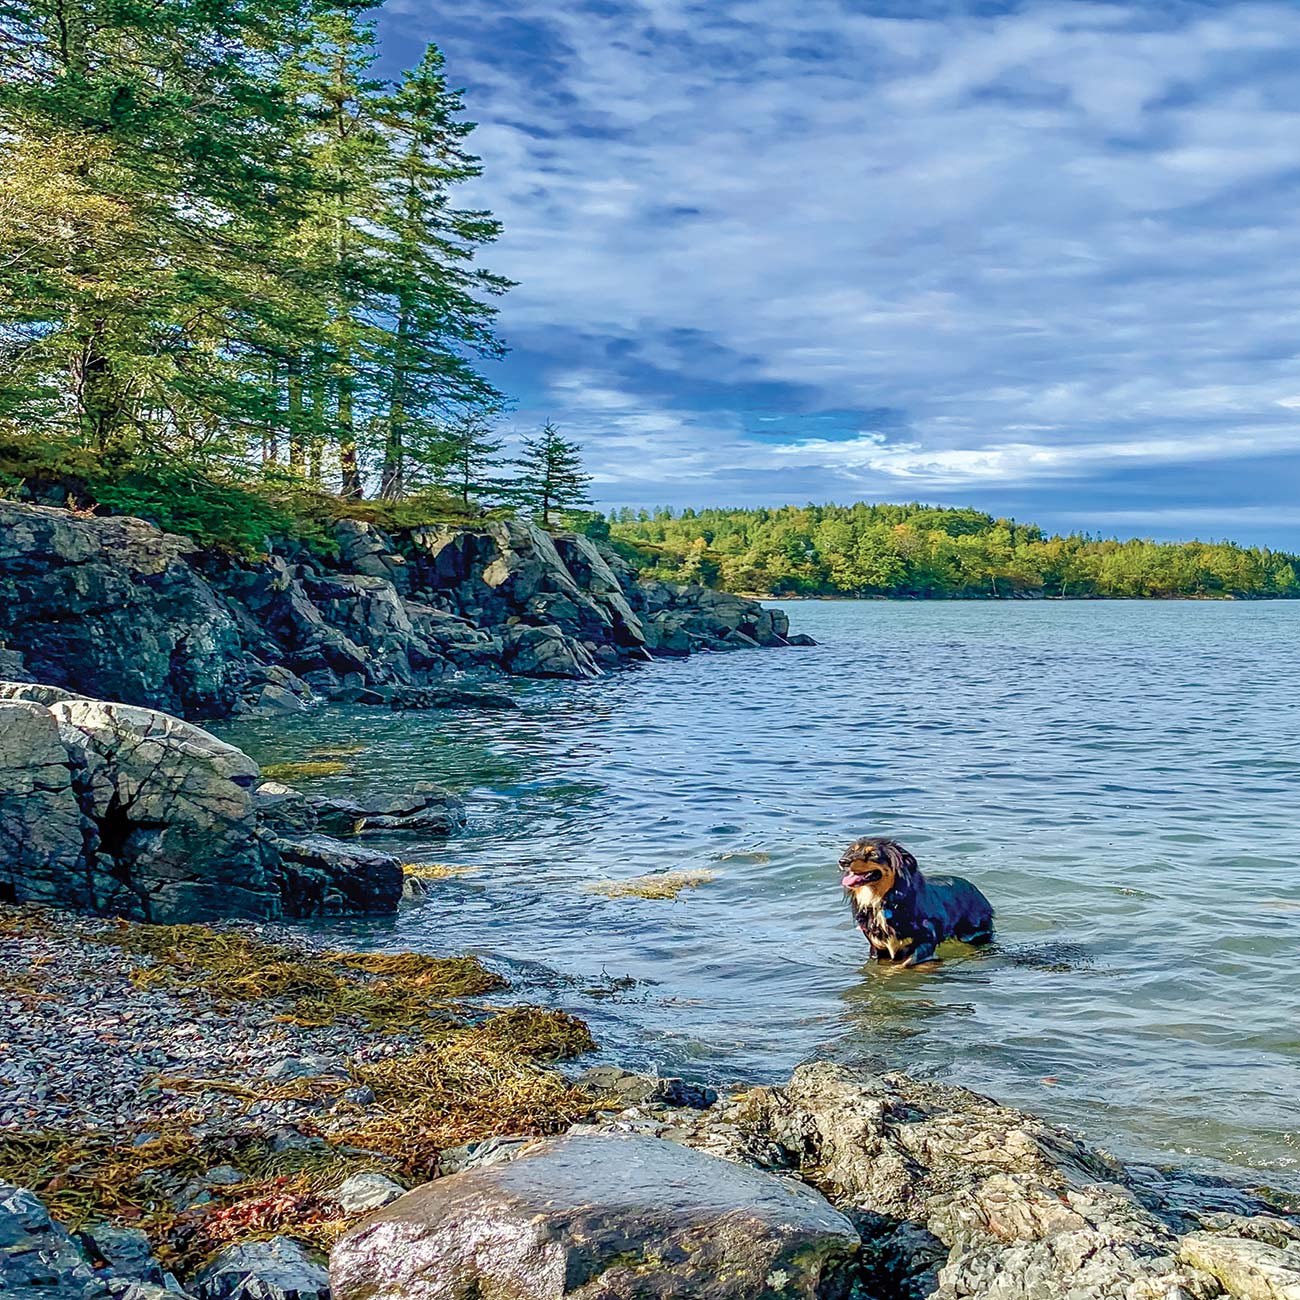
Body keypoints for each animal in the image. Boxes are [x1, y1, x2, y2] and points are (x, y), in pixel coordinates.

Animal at [837, 837, 987, 972]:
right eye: (852, 851)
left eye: (873, 854)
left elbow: (904, 965)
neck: (884, 900)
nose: (843, 861)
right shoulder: (877, 948)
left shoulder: (926, 941)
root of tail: (975, 888)